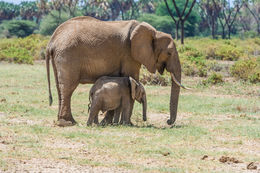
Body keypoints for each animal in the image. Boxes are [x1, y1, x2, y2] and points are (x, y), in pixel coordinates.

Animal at [45, 16, 186, 126]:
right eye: (169, 53)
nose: (168, 121)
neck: (154, 32)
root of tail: (51, 41)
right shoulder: (129, 54)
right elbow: (131, 80)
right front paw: (128, 124)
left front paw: (107, 123)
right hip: (68, 54)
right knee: (68, 87)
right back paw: (67, 123)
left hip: (60, 56)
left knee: (60, 87)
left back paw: (67, 121)